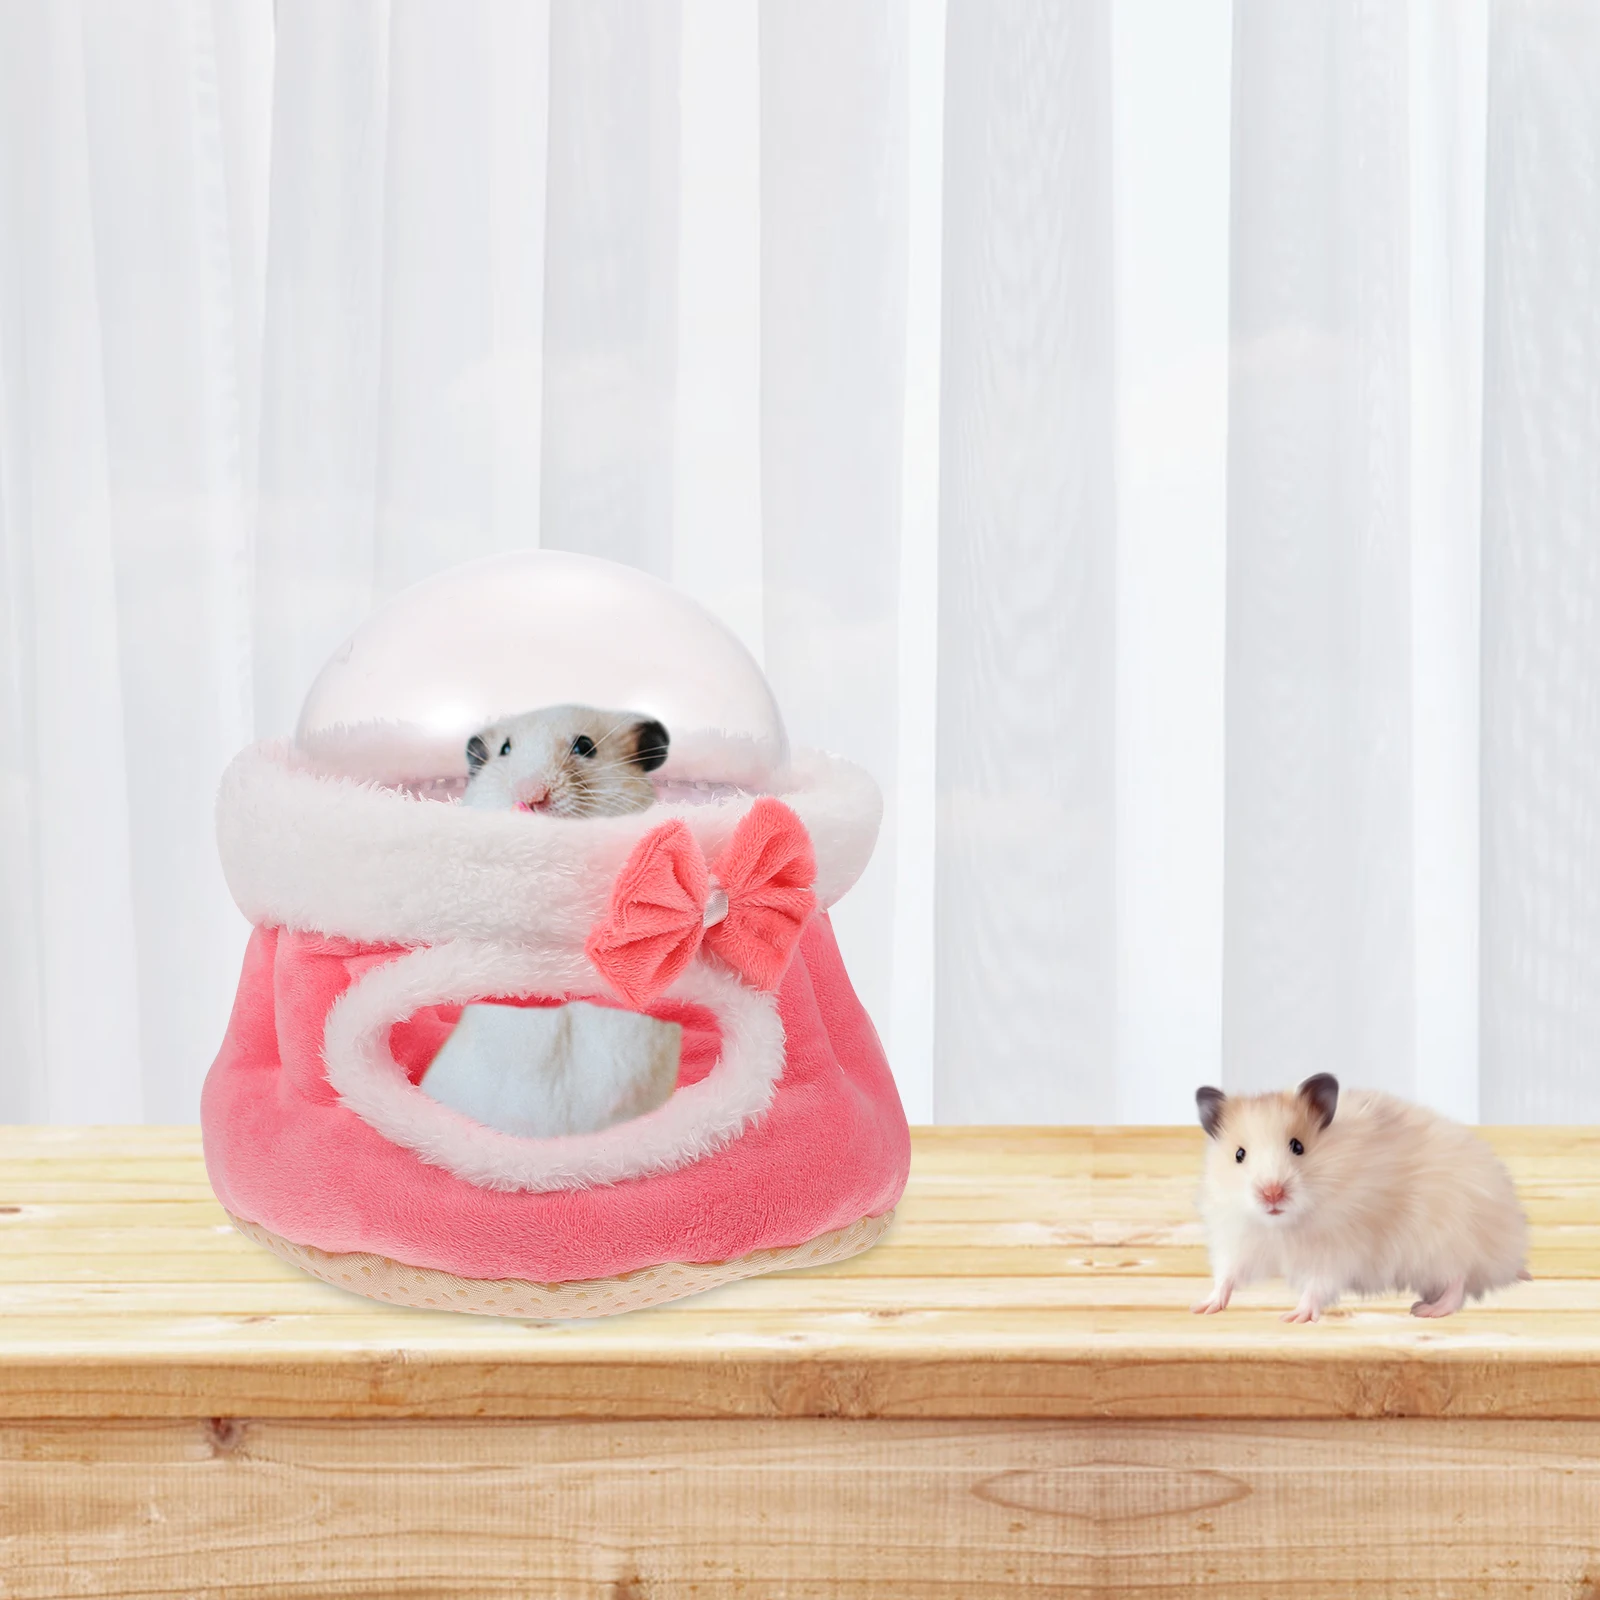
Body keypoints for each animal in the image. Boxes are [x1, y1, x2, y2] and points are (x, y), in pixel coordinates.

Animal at [1191, 1074, 1530, 1323]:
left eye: (1298, 1146)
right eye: (1239, 1154)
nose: (1271, 1193)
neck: (1283, 1225)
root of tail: (1510, 1253)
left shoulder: (1337, 1249)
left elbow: (1317, 1285)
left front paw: (1294, 1316)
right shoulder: (1238, 1239)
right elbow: (1227, 1275)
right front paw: (1203, 1307)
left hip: (1448, 1240)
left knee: (1459, 1280)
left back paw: (1426, 1310)